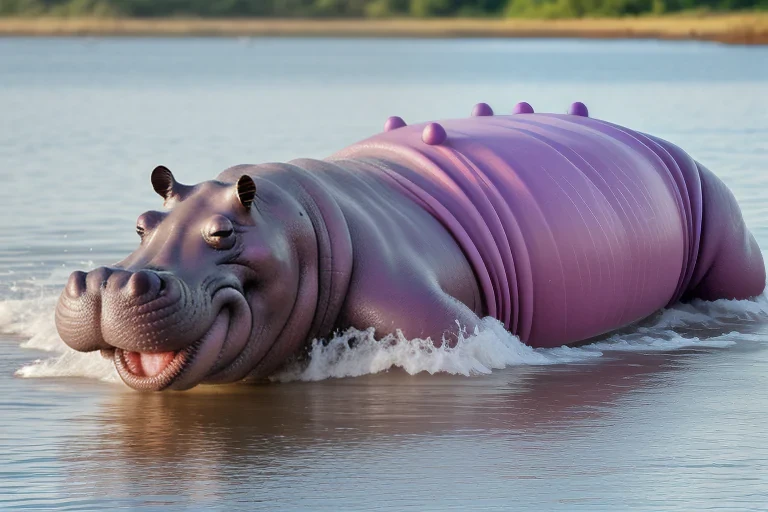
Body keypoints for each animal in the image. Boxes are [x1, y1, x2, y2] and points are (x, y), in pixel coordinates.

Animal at [55, 101, 766, 391]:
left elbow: (465, 334)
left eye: (223, 233)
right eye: (143, 222)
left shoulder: (417, 307)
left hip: (721, 216)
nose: (108, 282)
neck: (302, 219)